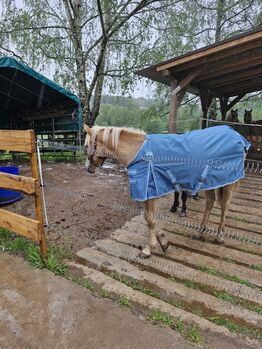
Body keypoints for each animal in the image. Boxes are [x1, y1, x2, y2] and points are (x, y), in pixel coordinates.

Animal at [84, 123, 250, 256]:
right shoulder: (150, 193)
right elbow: (150, 219)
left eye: (86, 146)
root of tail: (236, 136)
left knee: (224, 206)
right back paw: (200, 232)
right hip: (210, 182)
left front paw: (148, 249)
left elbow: (150, 219)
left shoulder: (150, 192)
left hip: (228, 182)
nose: (88, 169)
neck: (139, 153)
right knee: (210, 202)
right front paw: (163, 242)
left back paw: (220, 237)